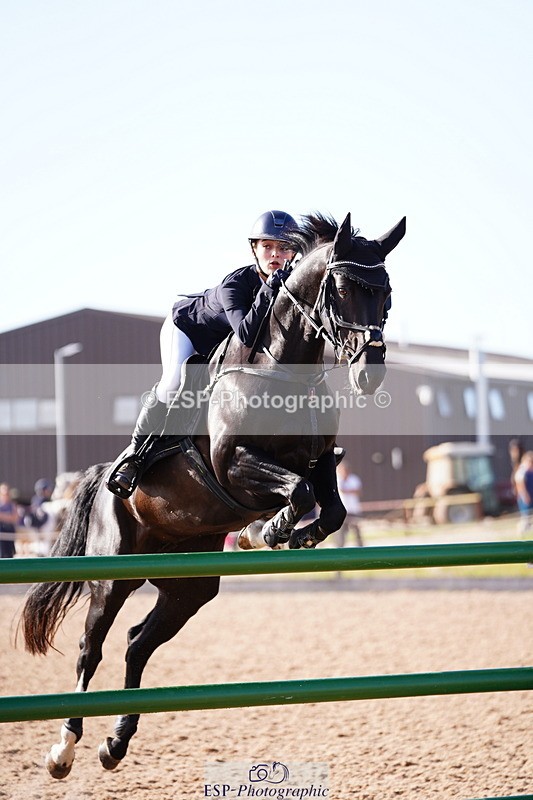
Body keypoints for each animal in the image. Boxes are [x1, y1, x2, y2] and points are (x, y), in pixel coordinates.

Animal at [19, 211, 405, 778]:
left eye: (386, 293)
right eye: (339, 289)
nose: (369, 372)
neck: (286, 369)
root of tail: (99, 476)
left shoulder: (319, 461)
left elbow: (329, 506)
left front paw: (274, 533)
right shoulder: (232, 466)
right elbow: (297, 491)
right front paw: (270, 530)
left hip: (189, 587)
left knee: (137, 644)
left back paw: (116, 744)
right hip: (112, 575)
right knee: (92, 648)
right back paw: (64, 748)